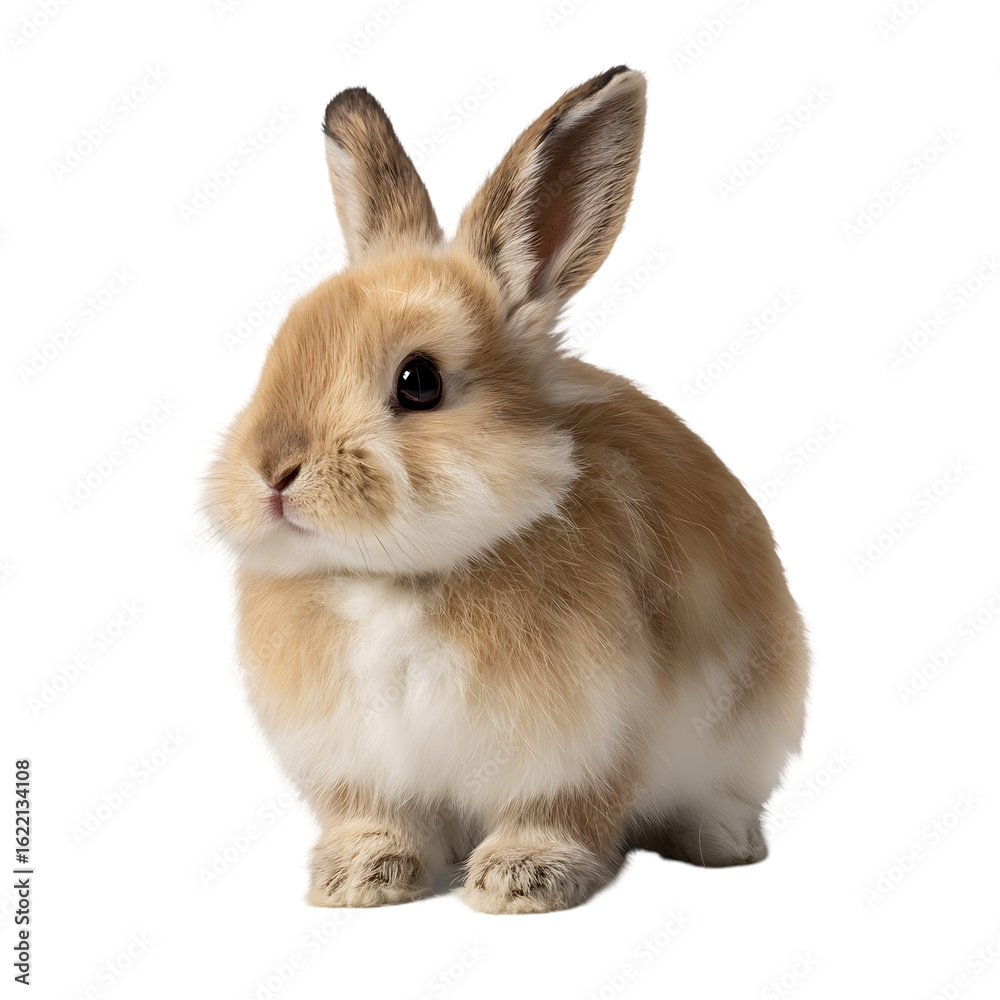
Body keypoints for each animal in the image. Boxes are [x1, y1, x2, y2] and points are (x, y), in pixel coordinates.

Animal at [204, 66, 809, 914]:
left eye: (418, 381)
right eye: (279, 350)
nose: (272, 474)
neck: (396, 580)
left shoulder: (588, 742)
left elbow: (561, 810)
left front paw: (521, 880)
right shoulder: (358, 765)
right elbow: (375, 816)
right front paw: (358, 877)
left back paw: (721, 842)